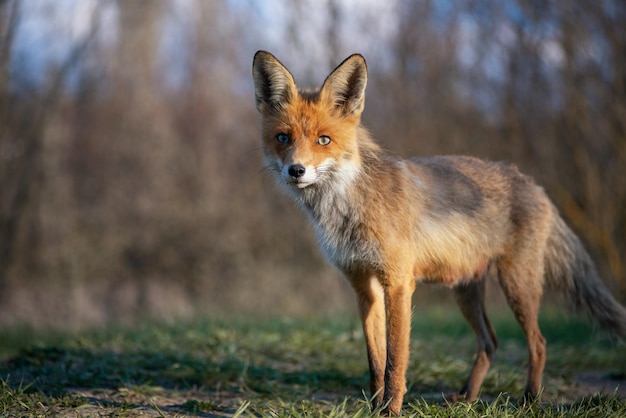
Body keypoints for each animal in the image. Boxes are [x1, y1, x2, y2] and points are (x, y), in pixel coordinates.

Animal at [250, 50, 624, 414]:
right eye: (283, 138)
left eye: (323, 140)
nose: (296, 170)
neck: (347, 208)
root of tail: (535, 185)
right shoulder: (363, 285)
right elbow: (375, 360)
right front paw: (374, 406)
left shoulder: (399, 282)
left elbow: (395, 360)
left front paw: (391, 409)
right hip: (466, 291)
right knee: (490, 342)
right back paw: (468, 397)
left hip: (518, 285)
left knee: (539, 343)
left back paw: (530, 399)